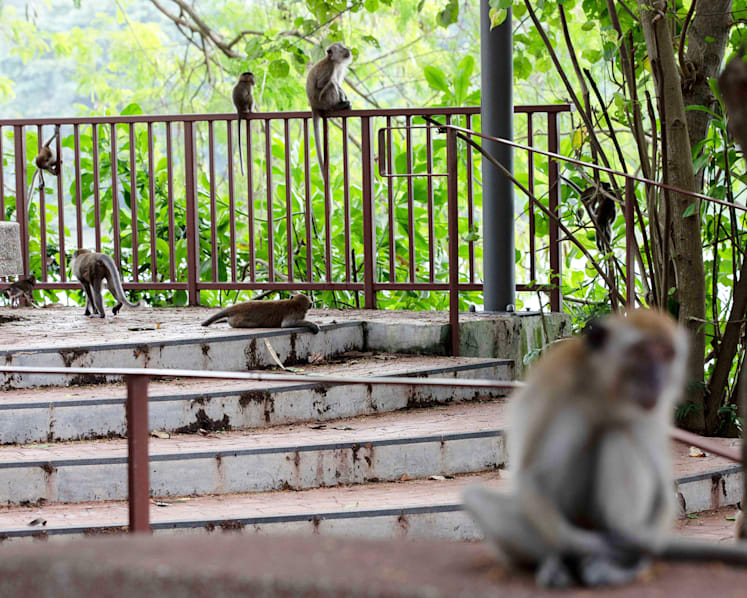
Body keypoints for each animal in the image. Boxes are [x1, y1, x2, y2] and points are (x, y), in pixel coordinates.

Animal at [306, 42, 353, 182]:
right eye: (341, 48)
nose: (347, 49)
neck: (335, 62)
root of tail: (313, 105)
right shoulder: (330, 68)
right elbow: (323, 84)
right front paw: (342, 97)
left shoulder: (340, 68)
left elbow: (339, 83)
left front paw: (344, 95)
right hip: (322, 101)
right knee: (331, 84)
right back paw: (337, 106)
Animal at [463, 309, 747, 589]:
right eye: (640, 353)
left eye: (667, 355)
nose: (656, 379)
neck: (605, 390)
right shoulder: (557, 390)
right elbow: (532, 478)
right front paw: (586, 548)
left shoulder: (656, 409)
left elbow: (660, 486)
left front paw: (631, 551)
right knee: (481, 498)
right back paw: (564, 561)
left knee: (618, 435)